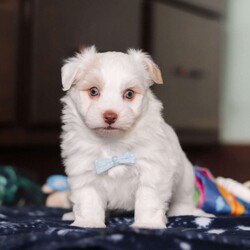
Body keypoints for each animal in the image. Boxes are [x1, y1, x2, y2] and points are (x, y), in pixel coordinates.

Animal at [61, 45, 200, 229]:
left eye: (129, 94)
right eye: (93, 91)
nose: (110, 116)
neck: (112, 143)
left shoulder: (152, 171)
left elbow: (148, 201)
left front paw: (148, 224)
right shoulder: (84, 172)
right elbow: (88, 200)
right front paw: (88, 223)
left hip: (185, 178)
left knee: (183, 199)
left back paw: (184, 213)